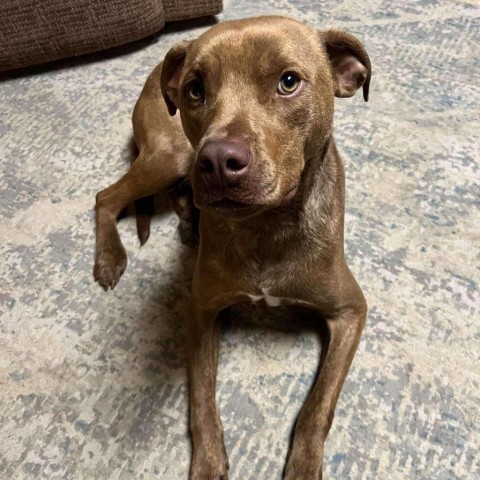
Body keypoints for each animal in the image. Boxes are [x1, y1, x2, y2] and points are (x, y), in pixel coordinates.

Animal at [94, 15, 372, 480]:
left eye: (289, 82)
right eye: (195, 89)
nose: (218, 162)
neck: (266, 226)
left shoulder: (350, 310)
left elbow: (318, 407)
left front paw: (303, 465)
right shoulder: (201, 310)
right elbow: (201, 400)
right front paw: (208, 463)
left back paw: (188, 225)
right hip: (170, 155)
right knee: (106, 197)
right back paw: (111, 257)